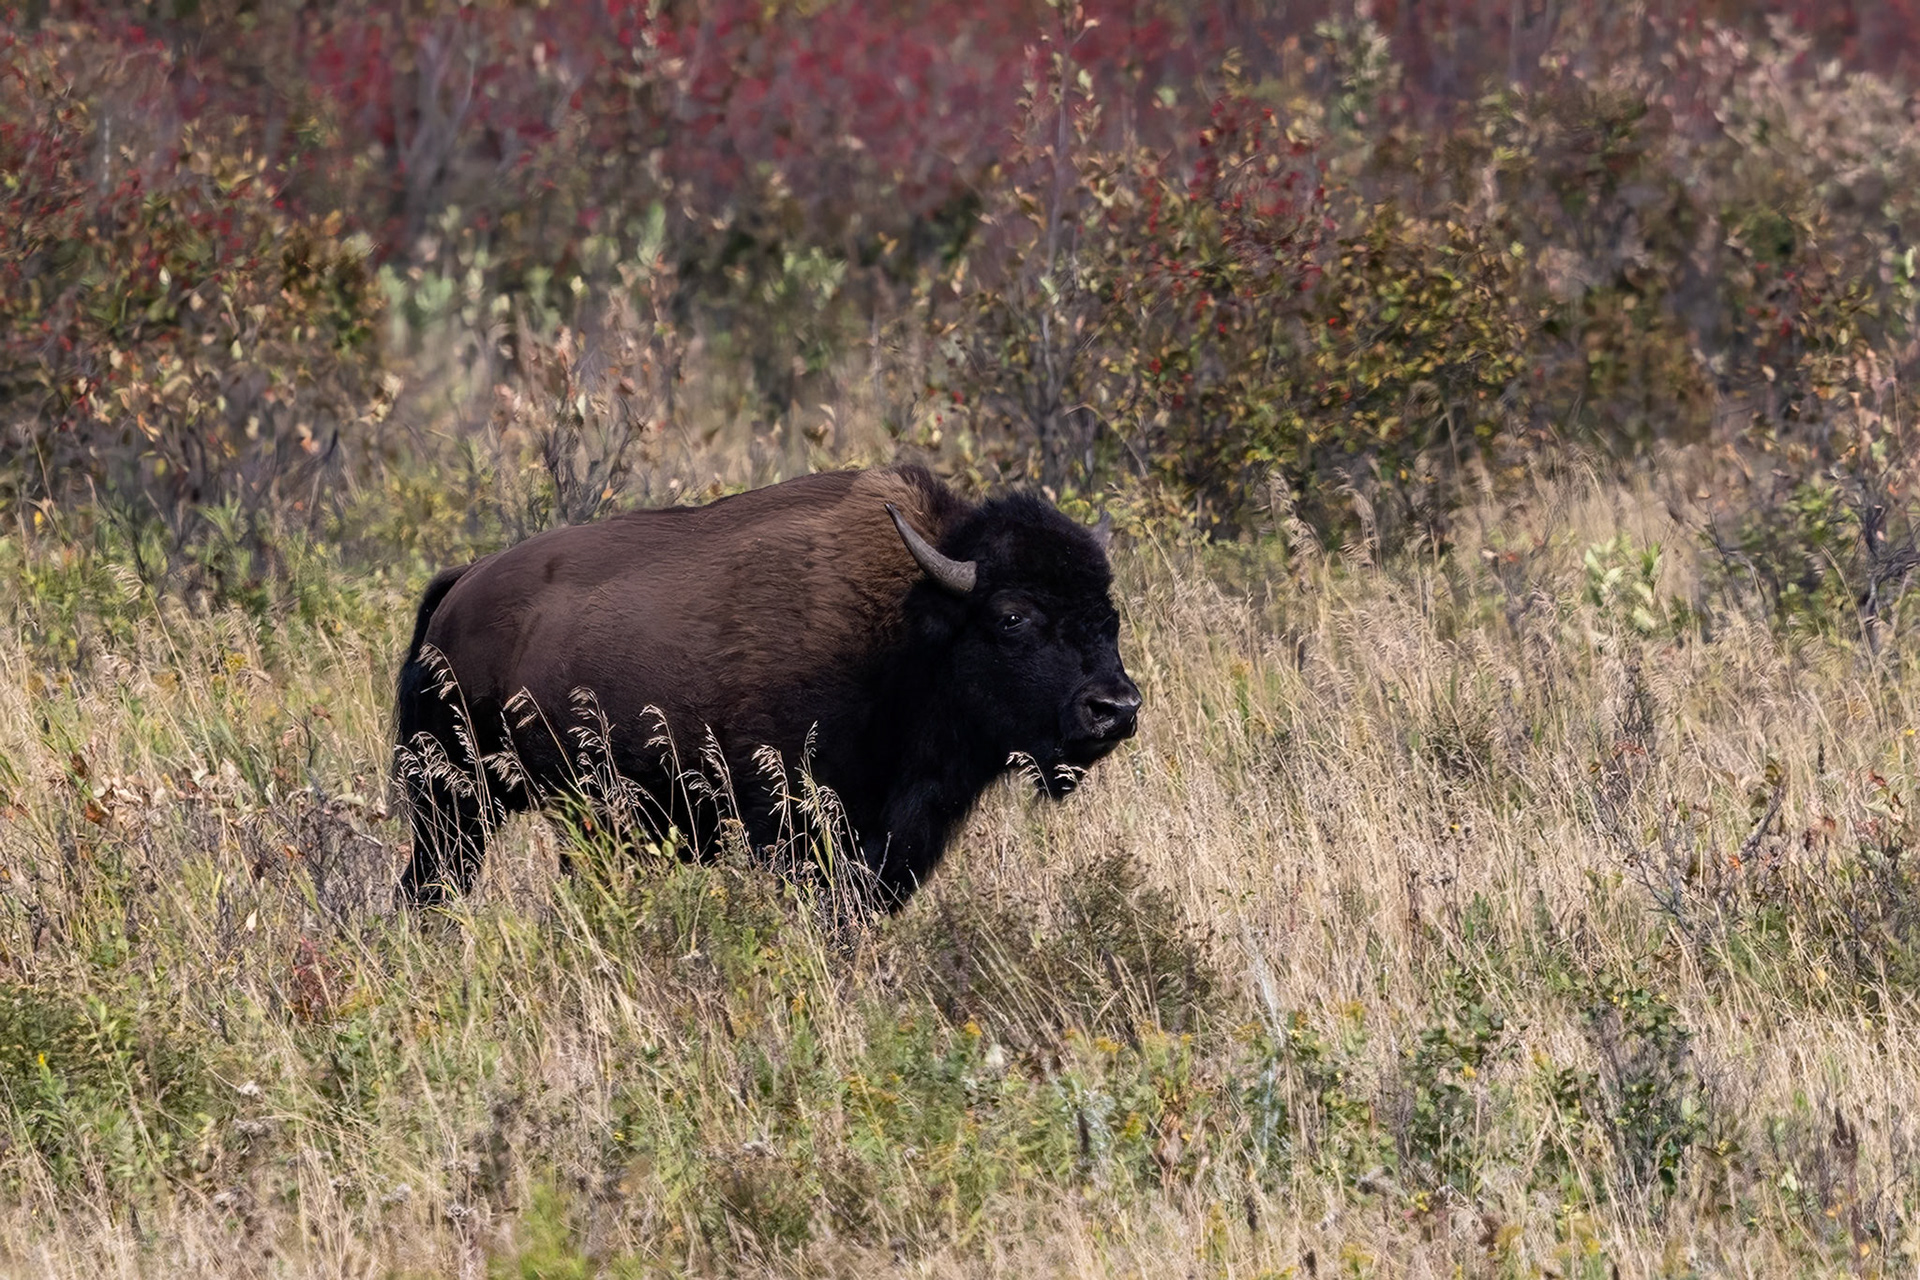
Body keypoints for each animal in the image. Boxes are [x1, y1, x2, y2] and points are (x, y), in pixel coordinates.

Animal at [392, 465, 1141, 911]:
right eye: (1012, 616)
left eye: (1109, 615)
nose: (1116, 708)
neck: (908, 629)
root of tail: (459, 587)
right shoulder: (795, 829)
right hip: (453, 803)